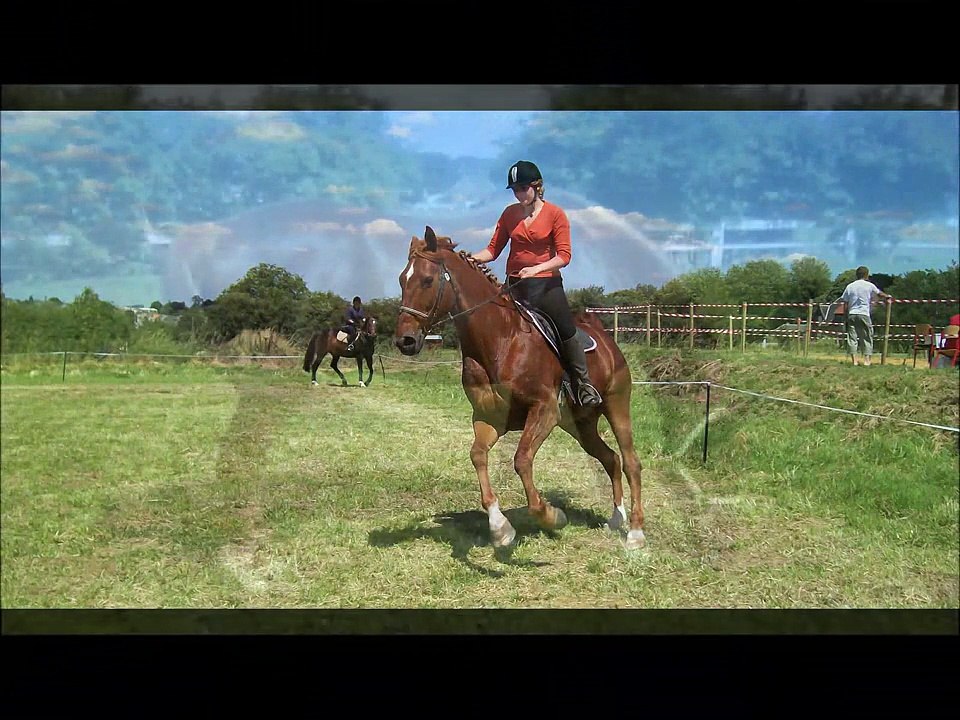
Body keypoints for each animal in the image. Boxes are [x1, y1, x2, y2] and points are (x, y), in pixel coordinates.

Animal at [394, 226, 645, 550]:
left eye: (427, 280)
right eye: (402, 280)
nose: (405, 341)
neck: (502, 340)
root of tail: (604, 337)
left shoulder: (544, 410)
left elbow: (522, 460)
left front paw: (551, 516)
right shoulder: (489, 418)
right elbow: (477, 455)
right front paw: (500, 528)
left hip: (616, 406)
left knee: (630, 462)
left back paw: (635, 532)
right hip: (580, 425)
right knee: (610, 458)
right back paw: (616, 519)